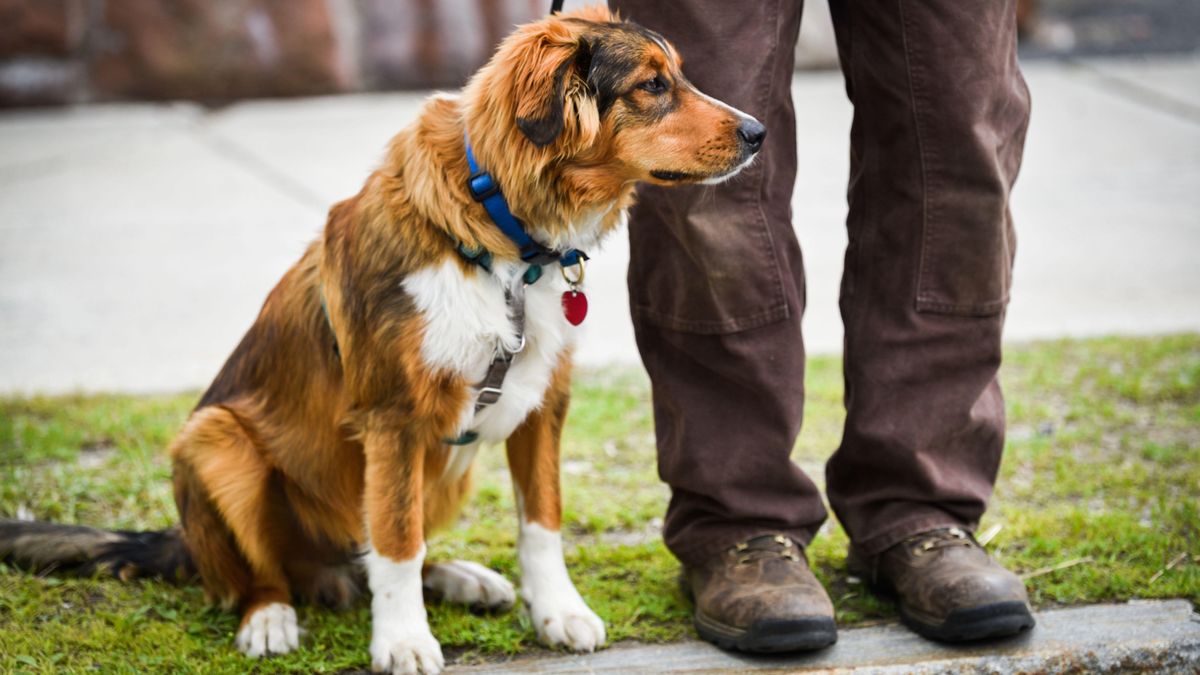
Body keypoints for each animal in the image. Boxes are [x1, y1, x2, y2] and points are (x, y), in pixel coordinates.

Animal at [0, 6, 763, 672]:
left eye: (678, 75)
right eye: (652, 86)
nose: (759, 131)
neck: (506, 240)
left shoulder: (541, 403)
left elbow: (540, 523)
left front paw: (557, 612)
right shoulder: (394, 417)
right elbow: (397, 542)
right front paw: (402, 642)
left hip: (450, 464)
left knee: (379, 549)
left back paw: (462, 578)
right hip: (216, 440)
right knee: (276, 570)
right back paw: (269, 618)